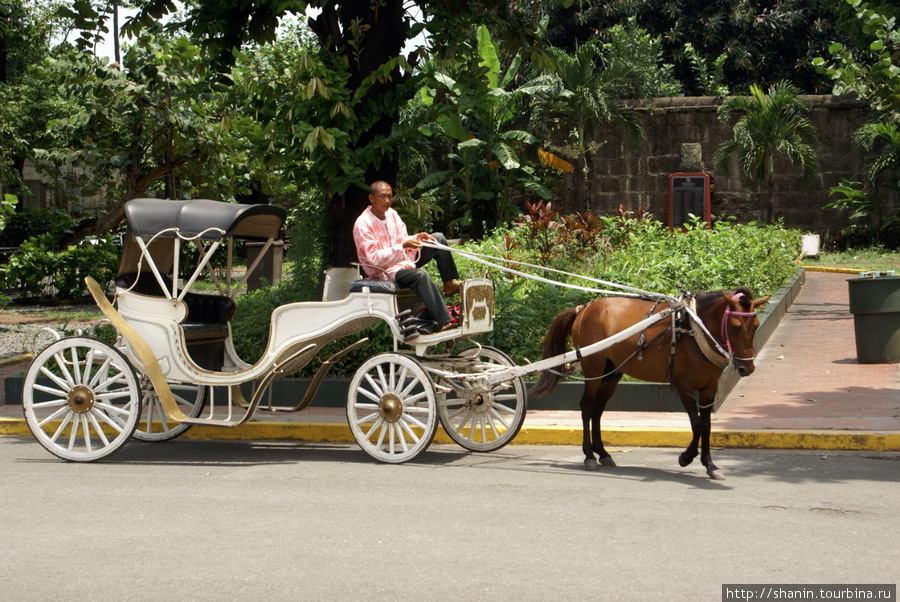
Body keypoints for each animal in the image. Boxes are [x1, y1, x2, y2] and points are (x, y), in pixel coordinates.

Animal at [532, 286, 768, 478]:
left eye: (756, 325)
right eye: (735, 326)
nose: (746, 368)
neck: (694, 329)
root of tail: (583, 309)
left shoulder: (709, 389)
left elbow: (708, 426)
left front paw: (710, 465)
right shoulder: (683, 387)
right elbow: (698, 425)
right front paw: (686, 457)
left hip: (611, 373)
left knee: (598, 409)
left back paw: (603, 453)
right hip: (593, 368)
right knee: (587, 407)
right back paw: (589, 455)